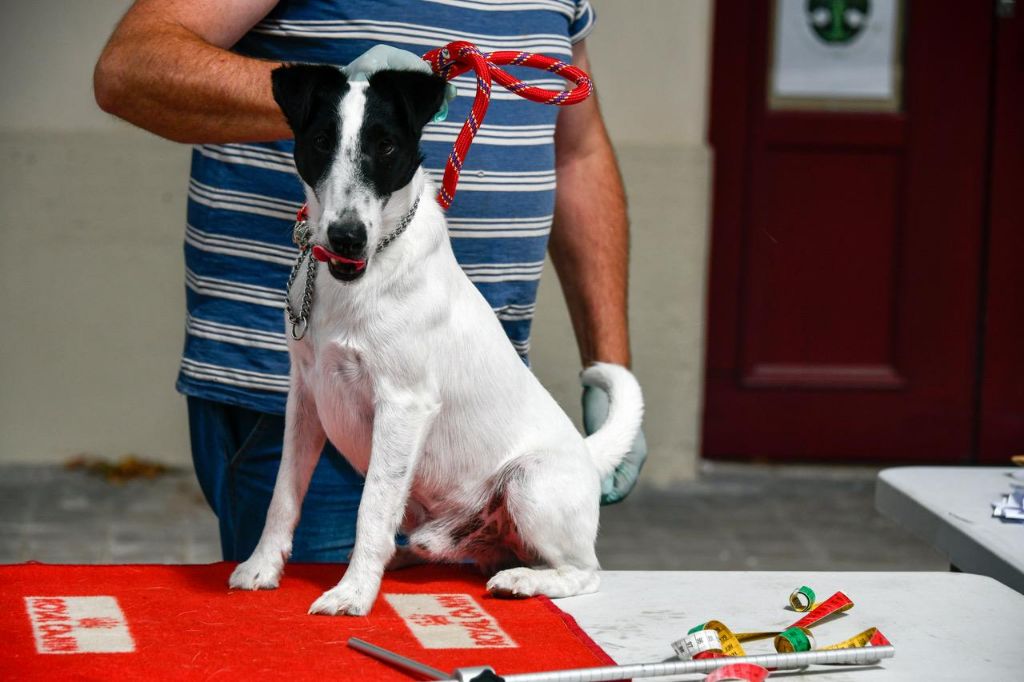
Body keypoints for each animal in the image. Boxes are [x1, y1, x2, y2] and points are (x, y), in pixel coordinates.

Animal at [229, 63, 643, 614]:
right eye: (321, 142)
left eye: (386, 147)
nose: (346, 238)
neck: (357, 280)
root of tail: (587, 454)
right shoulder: (306, 394)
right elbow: (284, 493)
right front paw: (262, 566)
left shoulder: (403, 404)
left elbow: (371, 506)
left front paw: (354, 592)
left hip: (530, 482)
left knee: (585, 572)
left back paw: (523, 580)